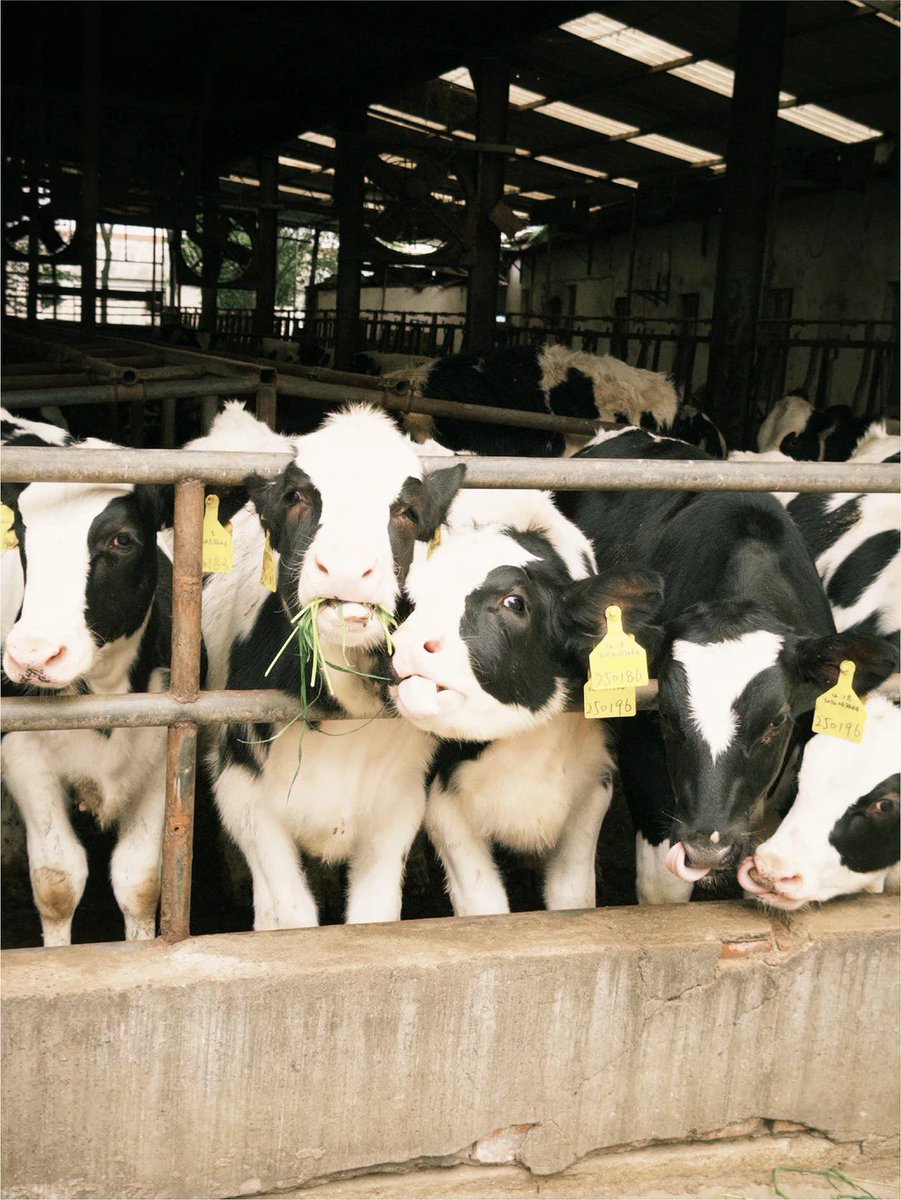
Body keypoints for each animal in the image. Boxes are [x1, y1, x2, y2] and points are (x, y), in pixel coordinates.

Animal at [1, 408, 174, 946]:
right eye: (22, 536)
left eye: (122, 539)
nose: (33, 654)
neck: (106, 688)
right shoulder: (21, 750)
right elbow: (57, 881)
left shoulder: (164, 747)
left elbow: (139, 880)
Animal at [192, 403, 464, 928]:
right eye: (296, 496)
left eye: (407, 511)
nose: (345, 568)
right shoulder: (244, 790)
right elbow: (291, 914)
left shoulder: (399, 801)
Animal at [389, 481, 662, 915]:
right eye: (411, 603)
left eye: (514, 602)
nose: (410, 644)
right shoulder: (444, 804)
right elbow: (485, 907)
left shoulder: (593, 786)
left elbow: (573, 897)